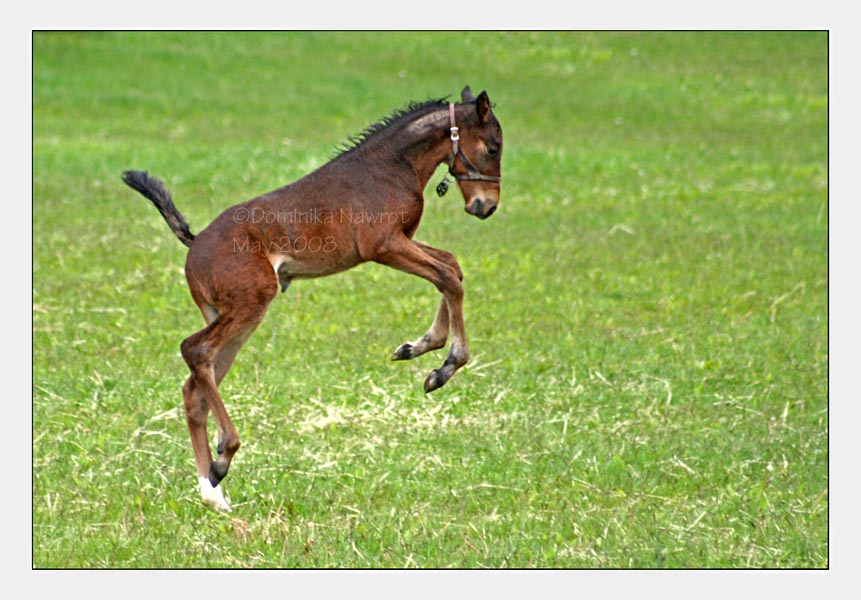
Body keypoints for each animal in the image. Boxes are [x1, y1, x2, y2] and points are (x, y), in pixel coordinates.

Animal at [124, 85, 508, 510]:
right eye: (492, 147)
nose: (486, 206)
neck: (392, 166)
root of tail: (193, 244)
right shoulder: (383, 246)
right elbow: (448, 277)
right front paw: (444, 367)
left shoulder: (403, 241)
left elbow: (450, 266)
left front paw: (418, 347)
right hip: (252, 301)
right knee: (194, 350)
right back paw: (224, 457)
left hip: (230, 316)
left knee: (196, 385)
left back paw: (212, 491)